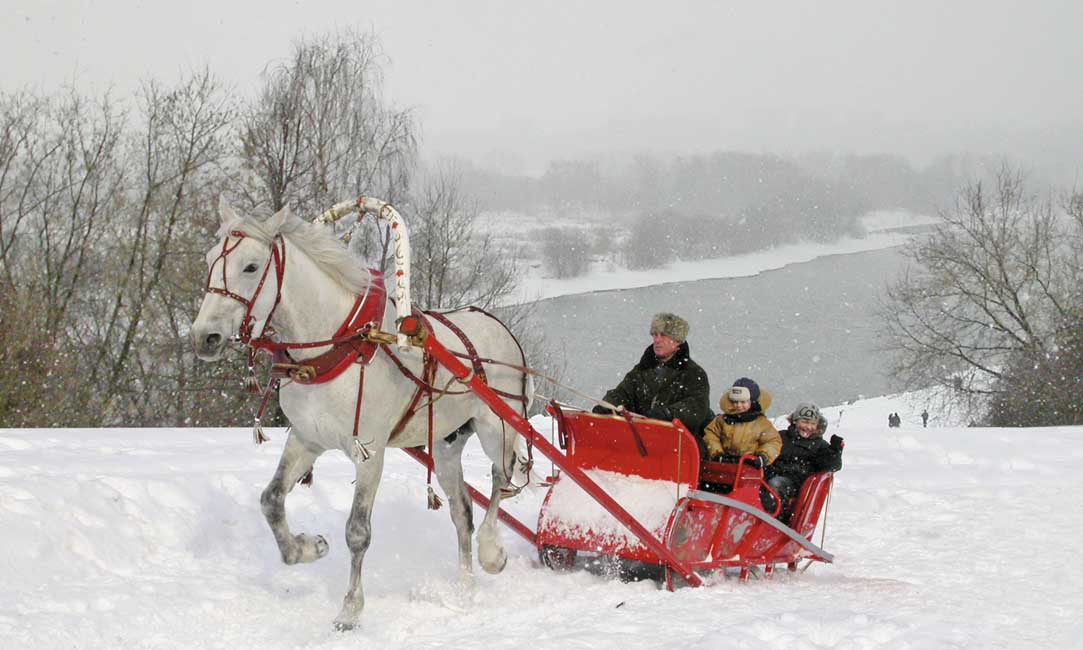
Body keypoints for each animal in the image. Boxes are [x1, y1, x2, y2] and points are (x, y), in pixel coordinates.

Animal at [192, 204, 535, 628]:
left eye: (252, 266)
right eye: (209, 260)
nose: (203, 337)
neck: (338, 344)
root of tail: (499, 327)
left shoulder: (370, 451)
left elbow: (357, 531)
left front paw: (350, 609)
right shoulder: (306, 438)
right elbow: (270, 500)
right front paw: (308, 547)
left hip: (498, 427)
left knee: (500, 480)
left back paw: (491, 552)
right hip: (445, 444)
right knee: (462, 512)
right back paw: (464, 587)